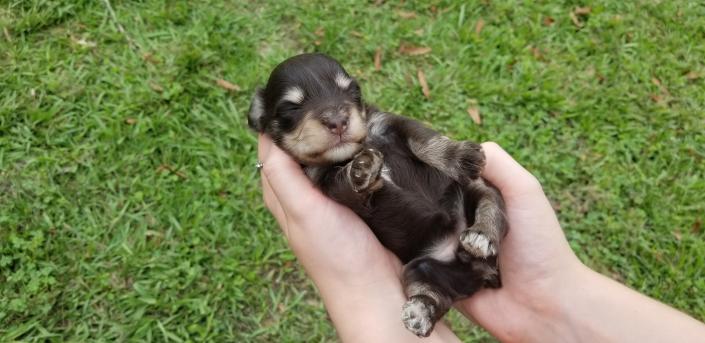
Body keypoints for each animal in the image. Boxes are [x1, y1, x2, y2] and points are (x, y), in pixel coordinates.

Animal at [248, 53, 506, 338]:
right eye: (290, 109)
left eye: (353, 91)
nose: (338, 121)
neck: (356, 148)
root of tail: (473, 265)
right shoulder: (325, 180)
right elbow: (345, 181)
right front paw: (362, 168)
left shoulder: (393, 123)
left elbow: (427, 142)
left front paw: (460, 156)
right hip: (420, 269)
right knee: (434, 295)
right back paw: (420, 313)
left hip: (478, 192)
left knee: (490, 208)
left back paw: (481, 236)